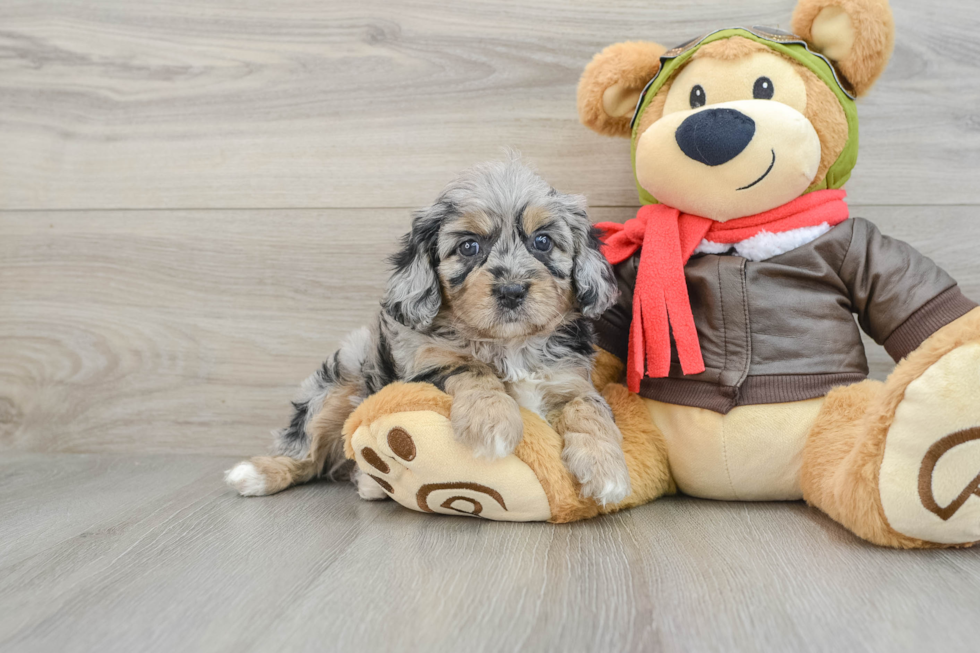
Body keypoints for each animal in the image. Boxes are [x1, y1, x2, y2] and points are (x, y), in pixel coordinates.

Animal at [226, 159, 632, 504]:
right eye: (469, 246)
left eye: (543, 241)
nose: (512, 290)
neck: (509, 344)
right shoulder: (423, 366)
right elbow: (471, 367)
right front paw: (493, 422)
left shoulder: (571, 379)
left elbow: (590, 407)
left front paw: (607, 469)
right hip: (341, 378)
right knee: (307, 451)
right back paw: (258, 474)